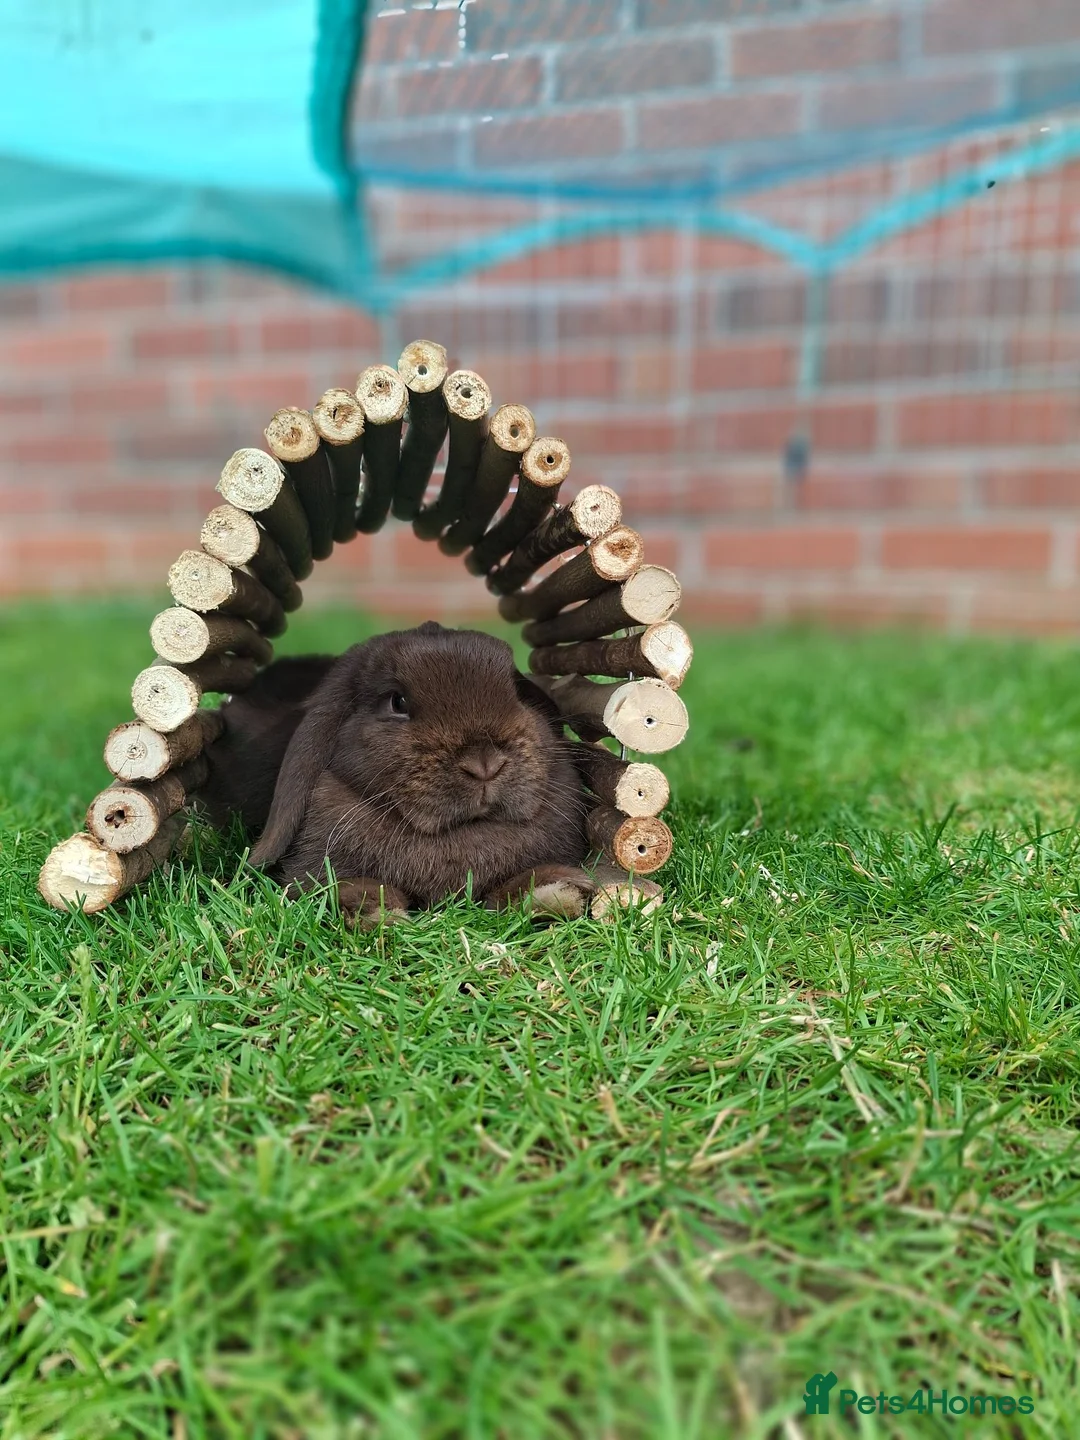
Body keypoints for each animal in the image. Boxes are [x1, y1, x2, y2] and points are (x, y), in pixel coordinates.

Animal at [246, 622, 594, 924]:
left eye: (518, 693)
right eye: (397, 702)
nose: (485, 765)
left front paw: (557, 893)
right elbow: (345, 887)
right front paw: (375, 912)